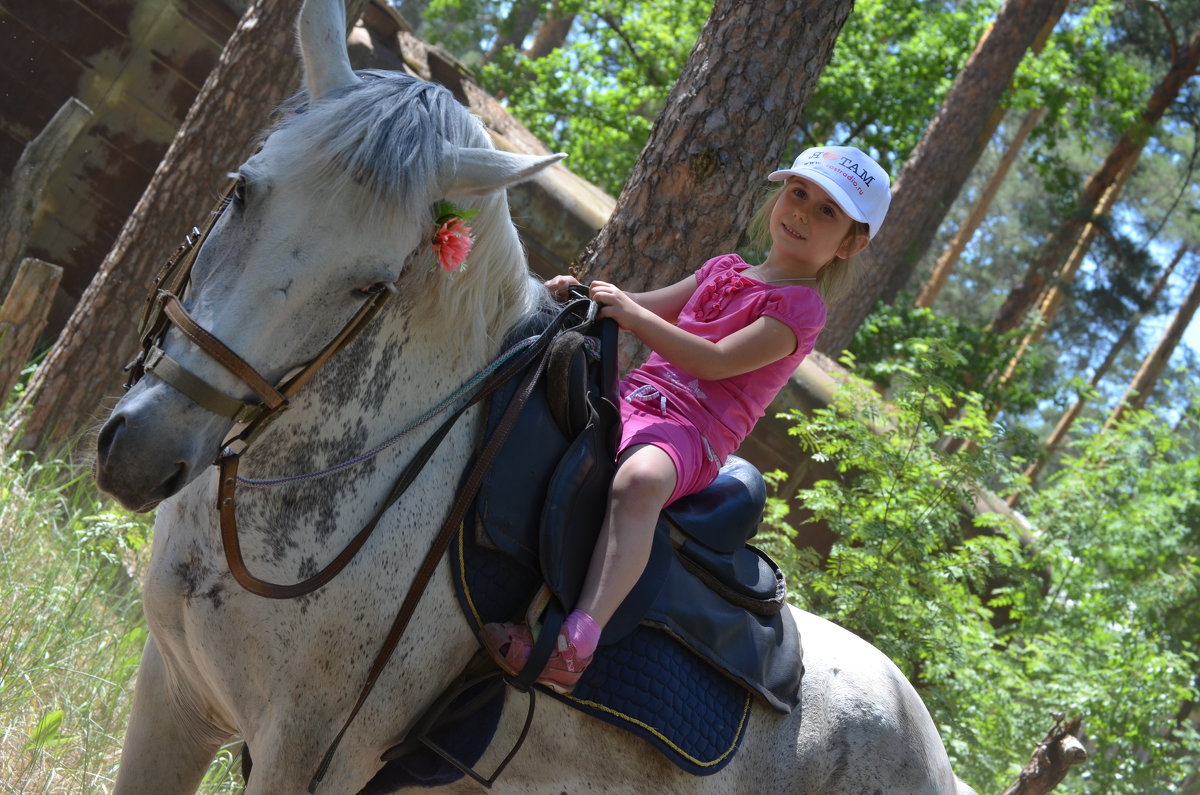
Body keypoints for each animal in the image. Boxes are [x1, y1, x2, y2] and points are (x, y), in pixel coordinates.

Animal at [91, 1, 974, 795]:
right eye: (243, 190)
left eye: (371, 284)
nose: (143, 451)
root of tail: (934, 753)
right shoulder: (172, 693)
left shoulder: (312, 759)